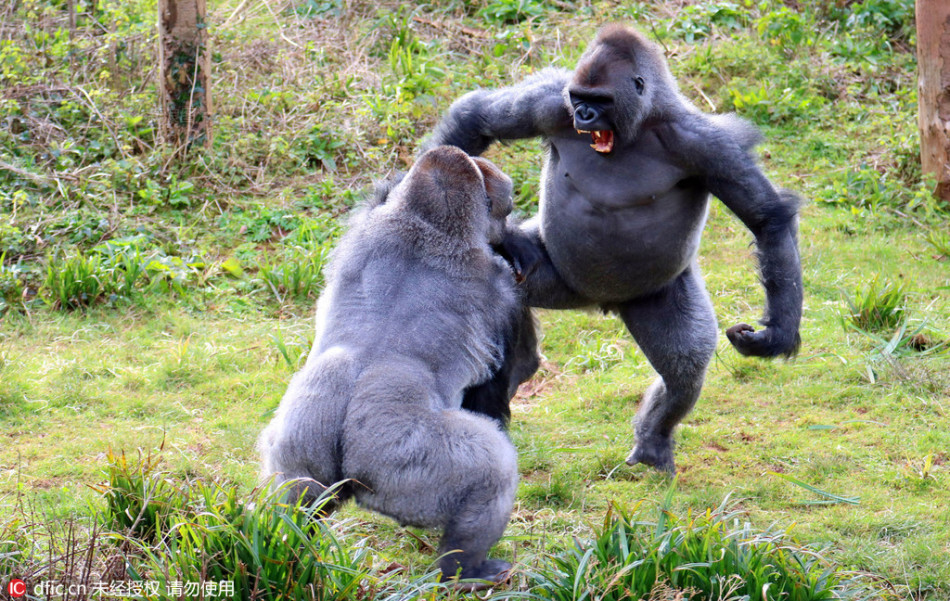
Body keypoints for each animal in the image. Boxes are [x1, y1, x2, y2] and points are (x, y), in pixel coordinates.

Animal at [258, 148, 528, 588]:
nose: (504, 231)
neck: (428, 224)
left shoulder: (367, 221)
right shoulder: (503, 290)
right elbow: (495, 389)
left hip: (295, 444)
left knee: (295, 503)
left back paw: (284, 544)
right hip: (404, 460)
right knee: (493, 470)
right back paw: (465, 569)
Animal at [428, 23, 808, 474]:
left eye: (601, 101)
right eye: (580, 99)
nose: (583, 116)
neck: (638, 125)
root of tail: (599, 303)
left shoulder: (707, 143)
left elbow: (766, 218)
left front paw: (778, 334)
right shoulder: (551, 101)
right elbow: (478, 118)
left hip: (651, 296)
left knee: (684, 367)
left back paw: (653, 439)